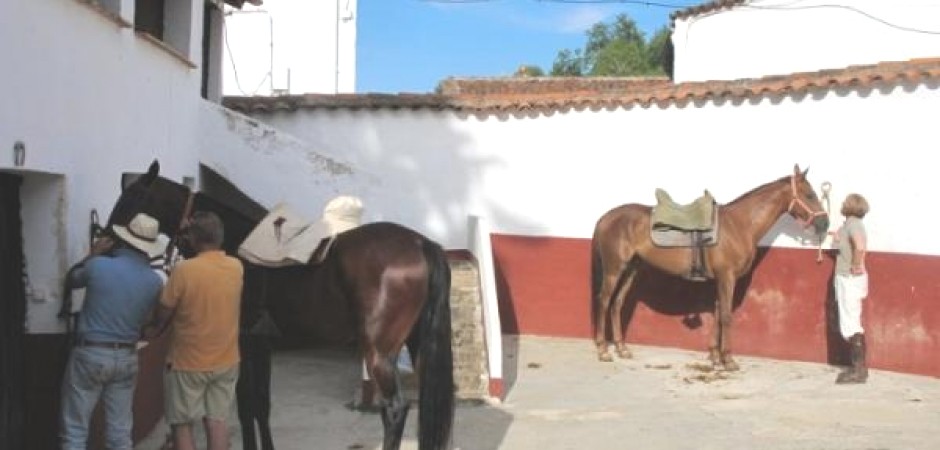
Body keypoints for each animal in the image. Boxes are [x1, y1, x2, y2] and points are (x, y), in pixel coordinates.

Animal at [110, 162, 456, 450]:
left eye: (135, 196)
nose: (109, 241)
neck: (231, 246)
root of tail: (420, 243)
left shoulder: (243, 342)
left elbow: (246, 404)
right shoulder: (262, 344)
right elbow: (262, 405)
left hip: (379, 352)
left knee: (395, 410)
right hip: (416, 345)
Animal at [596, 164, 828, 370]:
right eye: (809, 195)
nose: (825, 223)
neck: (740, 224)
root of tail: (605, 217)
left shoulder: (720, 279)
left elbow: (717, 313)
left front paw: (715, 357)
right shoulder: (727, 276)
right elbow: (726, 315)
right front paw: (729, 360)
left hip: (631, 269)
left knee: (617, 303)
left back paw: (622, 348)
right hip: (614, 269)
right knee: (604, 301)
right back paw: (603, 350)